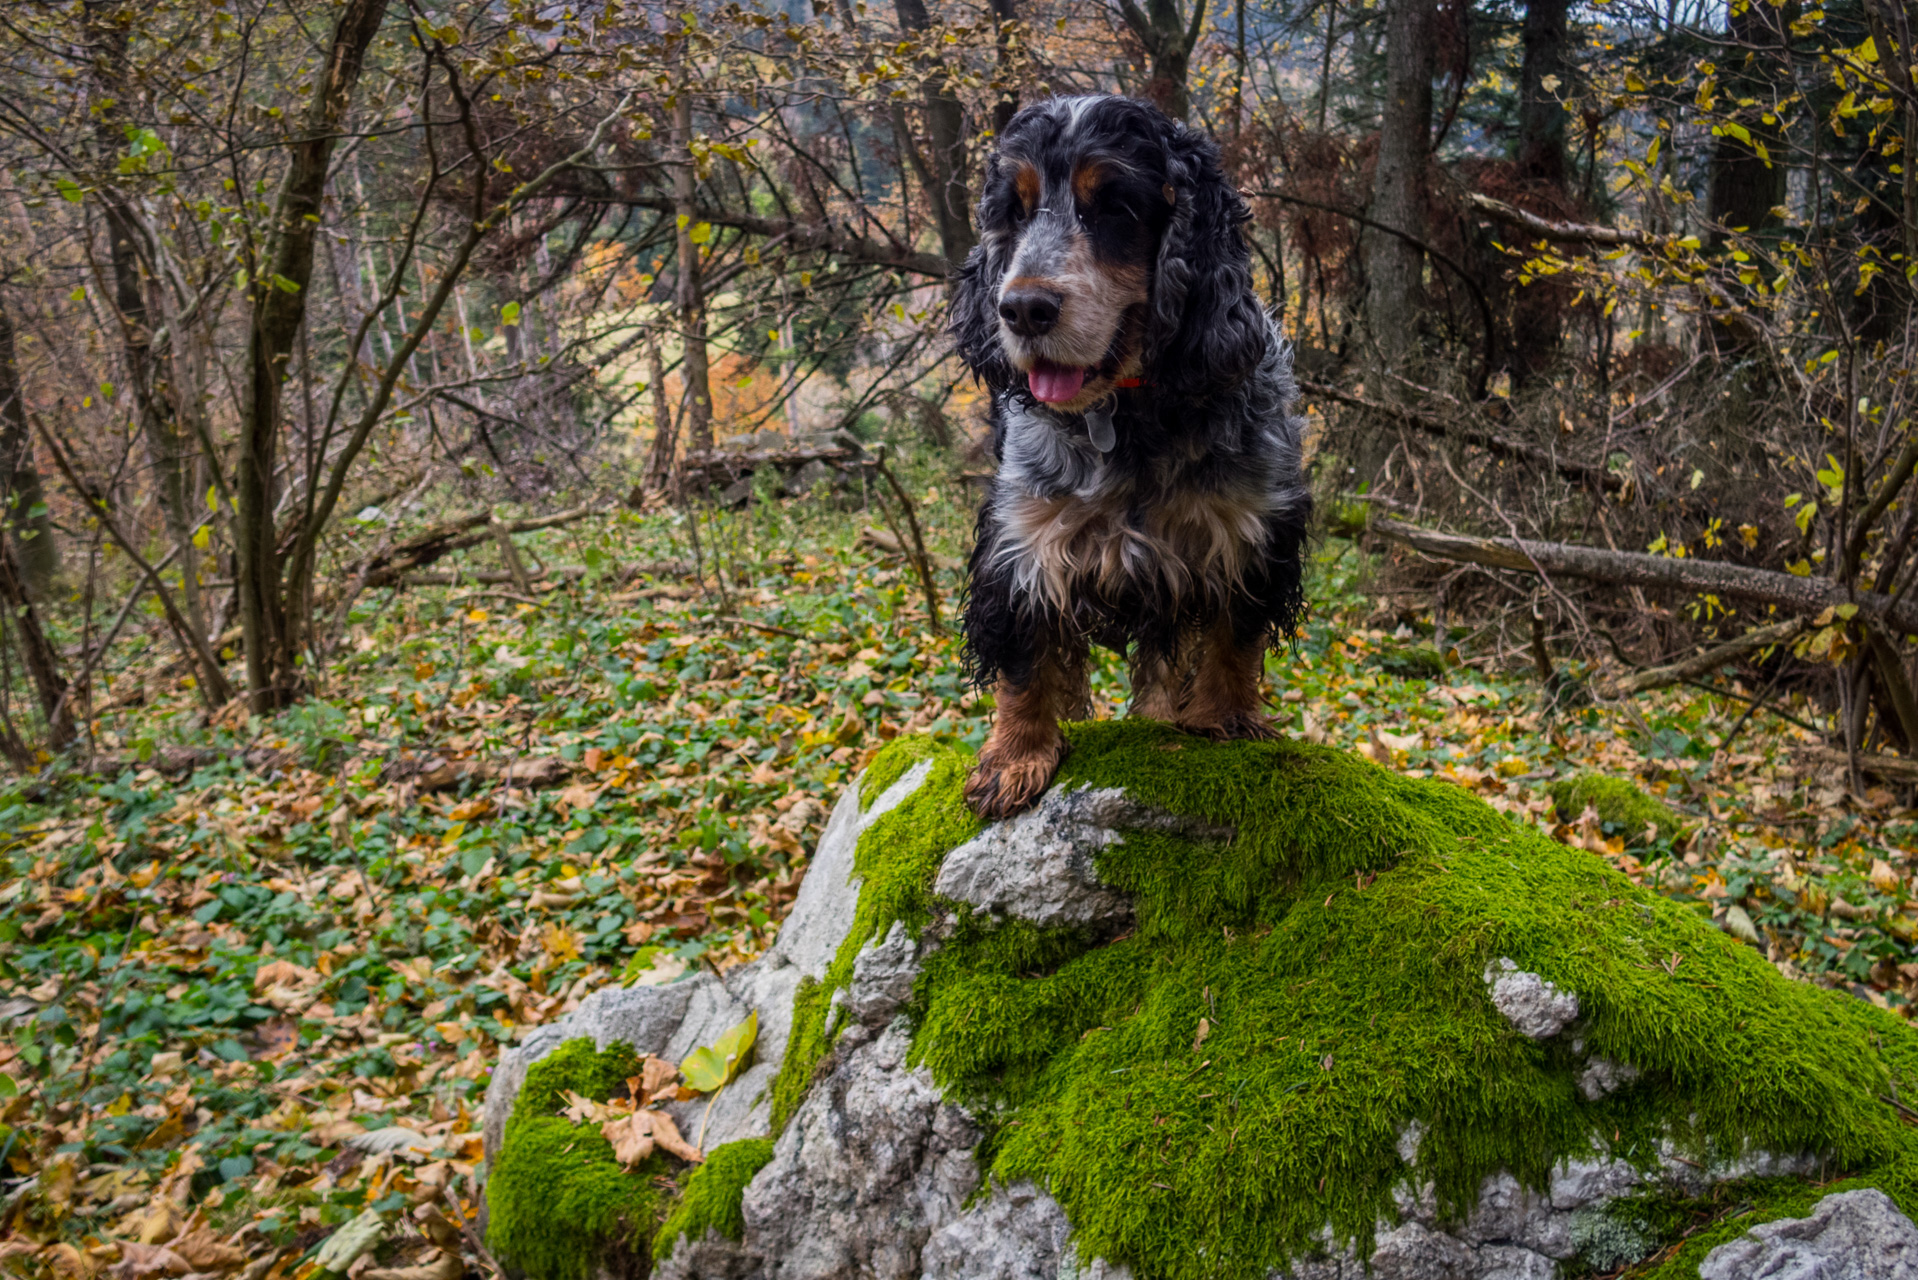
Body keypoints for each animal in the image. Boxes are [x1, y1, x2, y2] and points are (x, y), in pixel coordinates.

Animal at [951, 97, 1311, 821]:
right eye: (1014, 211)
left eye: (1115, 206)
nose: (1022, 309)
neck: (1130, 413)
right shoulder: (1021, 541)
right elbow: (1024, 659)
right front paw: (1014, 758)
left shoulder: (1256, 531)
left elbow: (1235, 637)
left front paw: (1225, 720)